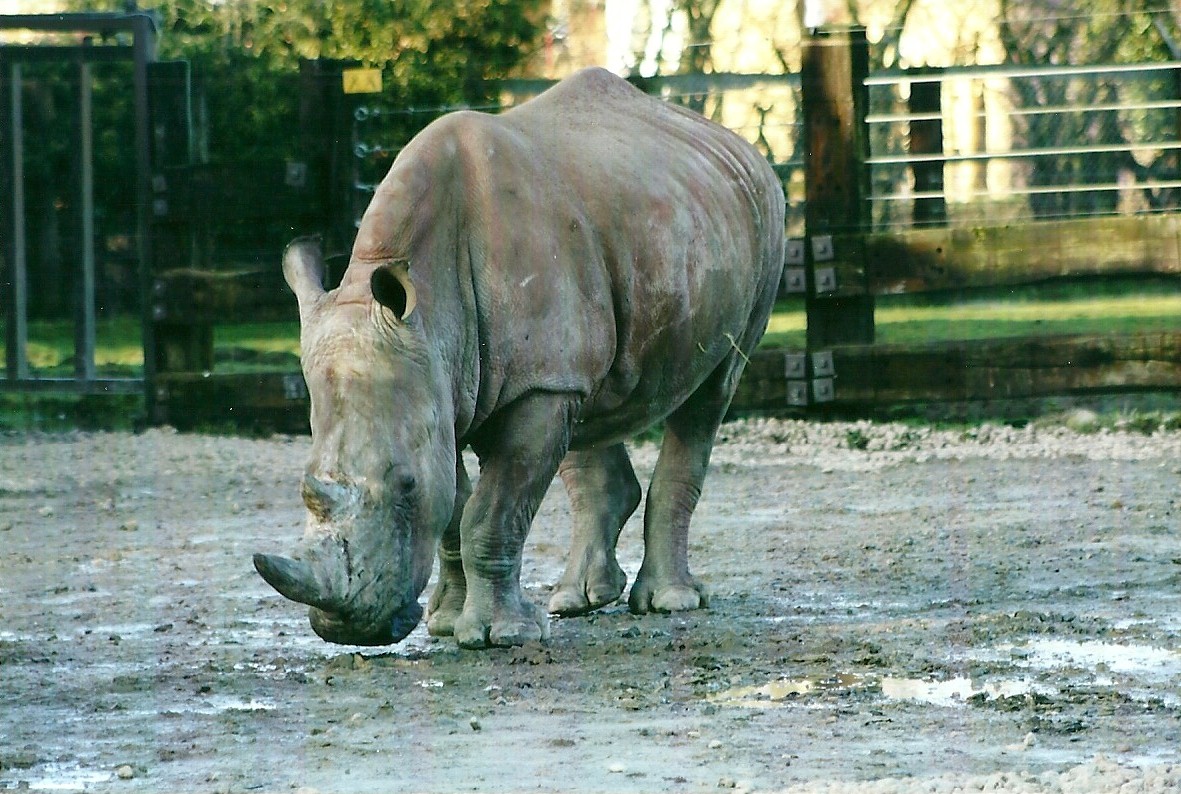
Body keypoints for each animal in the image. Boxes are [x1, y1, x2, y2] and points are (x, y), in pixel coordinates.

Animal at [253, 67, 785, 648]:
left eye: (405, 485)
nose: (347, 631)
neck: (428, 305)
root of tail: (744, 148)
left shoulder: (512, 382)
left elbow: (492, 511)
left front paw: (500, 635)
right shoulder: (441, 382)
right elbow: (455, 508)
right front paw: (446, 623)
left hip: (761, 224)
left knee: (709, 393)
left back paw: (668, 602)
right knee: (591, 400)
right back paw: (577, 600)